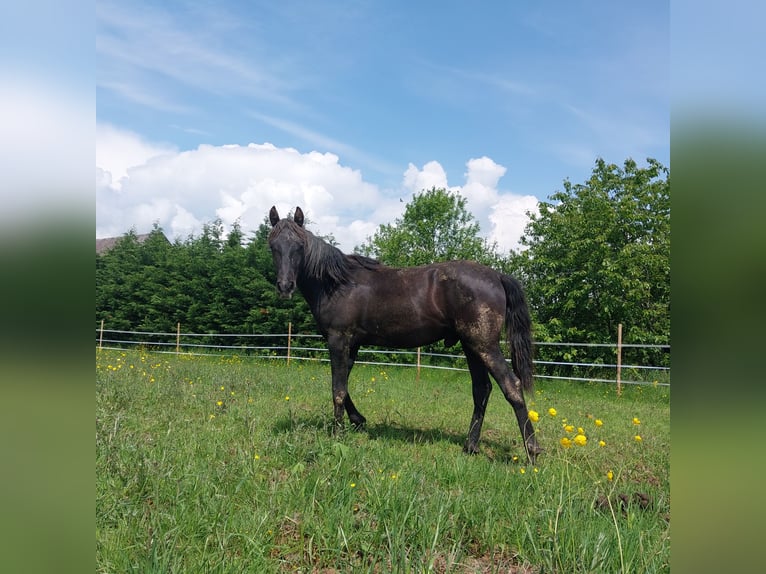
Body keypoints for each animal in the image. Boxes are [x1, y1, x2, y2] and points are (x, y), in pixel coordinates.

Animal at [270, 205, 544, 466]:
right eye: (273, 245)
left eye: (299, 246)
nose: (285, 286)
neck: (337, 283)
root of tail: (497, 276)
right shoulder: (352, 345)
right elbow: (344, 385)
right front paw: (358, 419)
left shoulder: (338, 340)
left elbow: (337, 389)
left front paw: (338, 434)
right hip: (471, 346)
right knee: (482, 389)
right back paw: (470, 446)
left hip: (484, 344)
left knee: (511, 386)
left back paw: (532, 451)